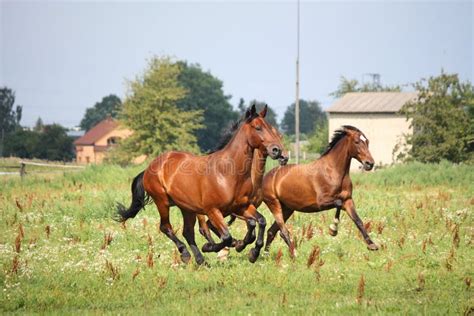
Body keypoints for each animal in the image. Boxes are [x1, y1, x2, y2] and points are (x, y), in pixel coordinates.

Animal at [115, 105, 286, 264]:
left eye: (271, 128)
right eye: (258, 127)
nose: (277, 151)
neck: (227, 172)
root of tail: (150, 167)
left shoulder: (241, 206)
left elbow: (259, 222)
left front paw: (252, 252)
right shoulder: (213, 210)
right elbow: (226, 236)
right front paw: (213, 247)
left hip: (187, 208)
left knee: (187, 232)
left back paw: (200, 260)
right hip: (162, 202)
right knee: (166, 227)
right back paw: (186, 254)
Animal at [262, 124, 378, 258]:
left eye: (367, 142)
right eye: (357, 142)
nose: (370, 163)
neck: (333, 172)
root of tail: (266, 176)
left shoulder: (348, 200)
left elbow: (358, 220)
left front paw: (372, 245)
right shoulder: (322, 202)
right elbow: (338, 203)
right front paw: (333, 230)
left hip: (287, 208)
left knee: (272, 231)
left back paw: (265, 255)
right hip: (274, 204)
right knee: (283, 231)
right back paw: (294, 253)